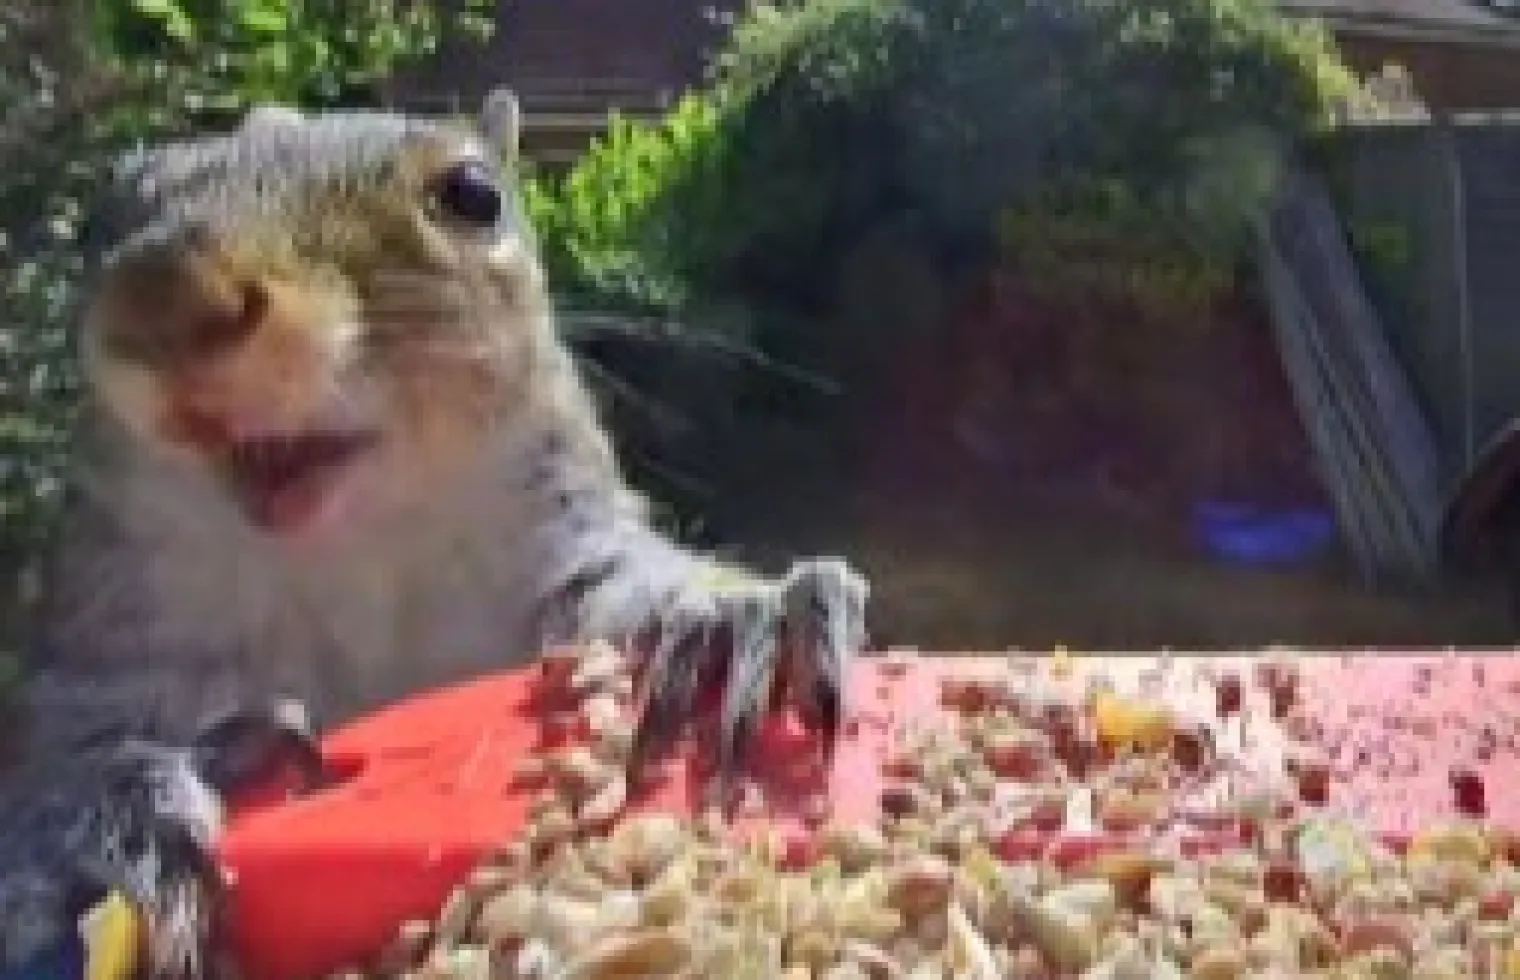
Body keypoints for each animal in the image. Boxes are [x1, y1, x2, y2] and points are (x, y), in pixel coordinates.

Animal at [0, 90, 868, 978]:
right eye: (99, 220)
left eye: (475, 195)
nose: (161, 299)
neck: (354, 557)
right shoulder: (104, 663)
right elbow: (49, 796)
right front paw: (113, 824)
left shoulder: (562, 542)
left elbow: (623, 588)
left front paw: (736, 621)